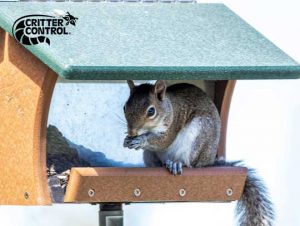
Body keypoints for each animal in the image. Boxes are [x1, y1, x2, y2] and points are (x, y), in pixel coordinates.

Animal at [122, 80, 274, 225]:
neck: (168, 108)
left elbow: (163, 142)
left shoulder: (172, 124)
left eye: (151, 111)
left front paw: (141, 140)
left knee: (191, 164)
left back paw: (176, 164)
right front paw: (127, 140)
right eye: (124, 107)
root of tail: (208, 162)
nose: (131, 132)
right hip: (149, 155)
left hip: (198, 136)